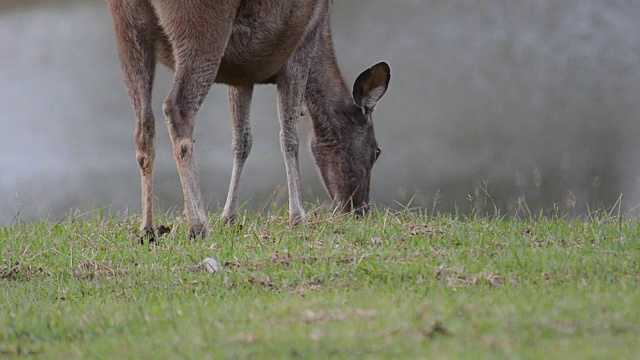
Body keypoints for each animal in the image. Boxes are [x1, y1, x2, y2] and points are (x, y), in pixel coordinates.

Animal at [106, 0, 390, 239]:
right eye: (376, 151)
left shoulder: (241, 77)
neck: (323, 39)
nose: (359, 210)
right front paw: (298, 218)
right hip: (202, 27)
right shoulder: (300, 48)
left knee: (144, 124)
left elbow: (242, 142)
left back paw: (148, 229)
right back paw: (198, 226)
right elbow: (289, 138)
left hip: (128, 27)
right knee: (177, 108)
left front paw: (229, 216)